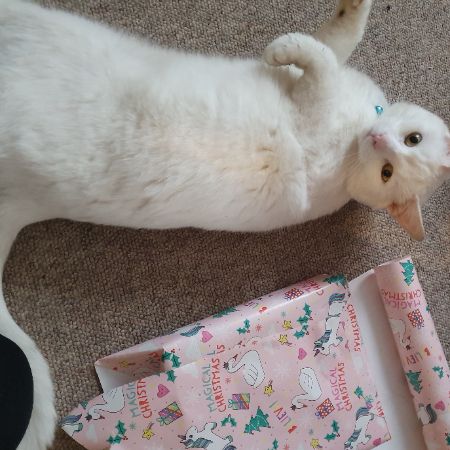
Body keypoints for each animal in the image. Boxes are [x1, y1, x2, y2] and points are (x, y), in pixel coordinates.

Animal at [0, 0, 449, 448]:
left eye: (389, 170)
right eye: (409, 143)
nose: (378, 139)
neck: (354, 141)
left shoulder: (314, 97)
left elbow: (317, 54)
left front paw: (283, 46)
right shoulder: (319, 80)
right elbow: (336, 40)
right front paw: (344, 15)